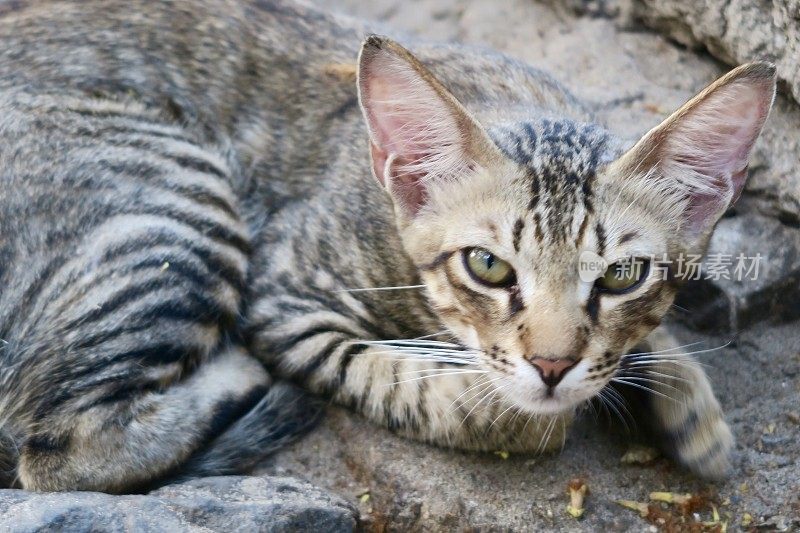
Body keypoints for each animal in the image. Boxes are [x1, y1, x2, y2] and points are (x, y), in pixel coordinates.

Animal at [0, 0, 776, 490]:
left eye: (621, 276)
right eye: (487, 266)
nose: (552, 366)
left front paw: (685, 401)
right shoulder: (286, 292)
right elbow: (456, 398)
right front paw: (530, 406)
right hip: (173, 203)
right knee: (58, 449)